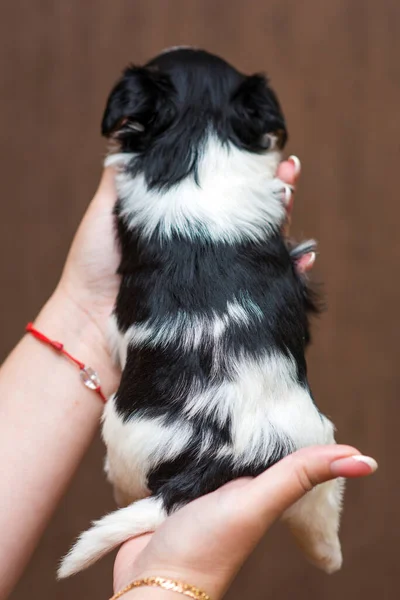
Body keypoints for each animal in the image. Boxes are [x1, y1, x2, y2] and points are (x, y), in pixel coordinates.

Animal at [58, 48, 344, 580]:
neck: (200, 139)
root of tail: (233, 449)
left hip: (125, 440)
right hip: (314, 438)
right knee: (320, 511)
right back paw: (329, 557)